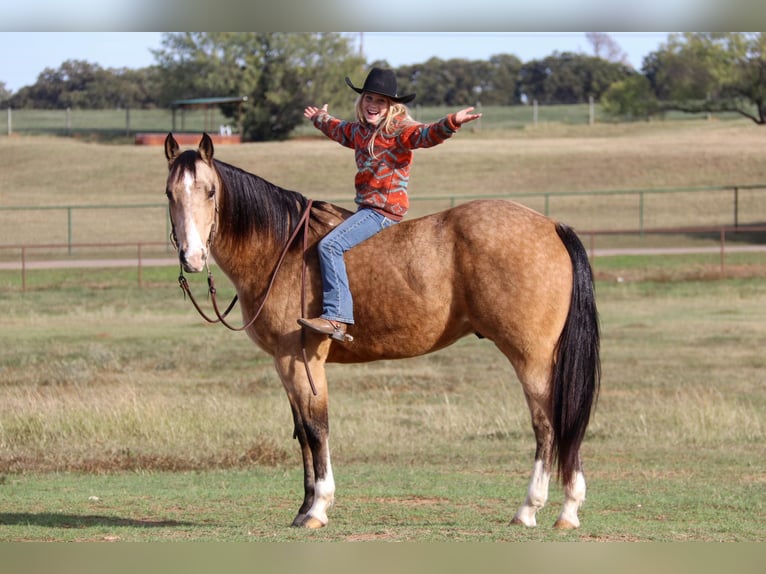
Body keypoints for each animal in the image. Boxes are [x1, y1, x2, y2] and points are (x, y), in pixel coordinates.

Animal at [165, 134, 604, 532]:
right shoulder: (284, 364)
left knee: (549, 425)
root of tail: (551, 226)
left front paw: (318, 508)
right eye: (170, 193)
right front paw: (303, 509)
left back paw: (537, 509)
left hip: (530, 359)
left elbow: (317, 429)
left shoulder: (301, 360)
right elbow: (302, 433)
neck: (282, 250)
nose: (192, 257)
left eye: (209, 191)